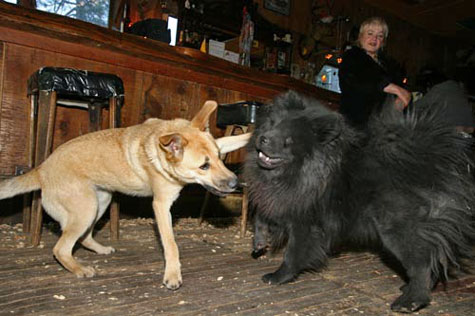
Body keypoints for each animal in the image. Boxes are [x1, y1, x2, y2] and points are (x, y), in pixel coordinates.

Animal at [0, 100, 251, 288]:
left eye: (219, 157)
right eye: (203, 166)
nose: (235, 182)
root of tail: (41, 169)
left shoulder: (221, 142)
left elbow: (236, 139)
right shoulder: (161, 206)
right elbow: (171, 244)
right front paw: (172, 275)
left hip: (100, 201)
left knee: (84, 237)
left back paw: (100, 250)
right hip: (86, 208)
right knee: (60, 249)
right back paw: (80, 269)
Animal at [245, 91, 475, 314]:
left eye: (289, 140)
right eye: (272, 125)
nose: (263, 138)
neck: (306, 170)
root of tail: (432, 163)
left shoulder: (305, 223)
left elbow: (293, 253)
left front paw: (280, 276)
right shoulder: (279, 201)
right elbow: (260, 218)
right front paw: (259, 242)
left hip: (398, 231)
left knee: (422, 263)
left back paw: (411, 300)